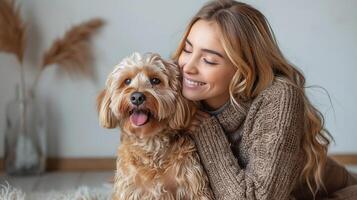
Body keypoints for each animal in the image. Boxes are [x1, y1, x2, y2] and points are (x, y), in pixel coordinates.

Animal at [96, 52, 213, 199]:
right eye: (127, 81)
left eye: (155, 80)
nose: (137, 97)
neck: (151, 143)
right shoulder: (129, 189)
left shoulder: (193, 185)